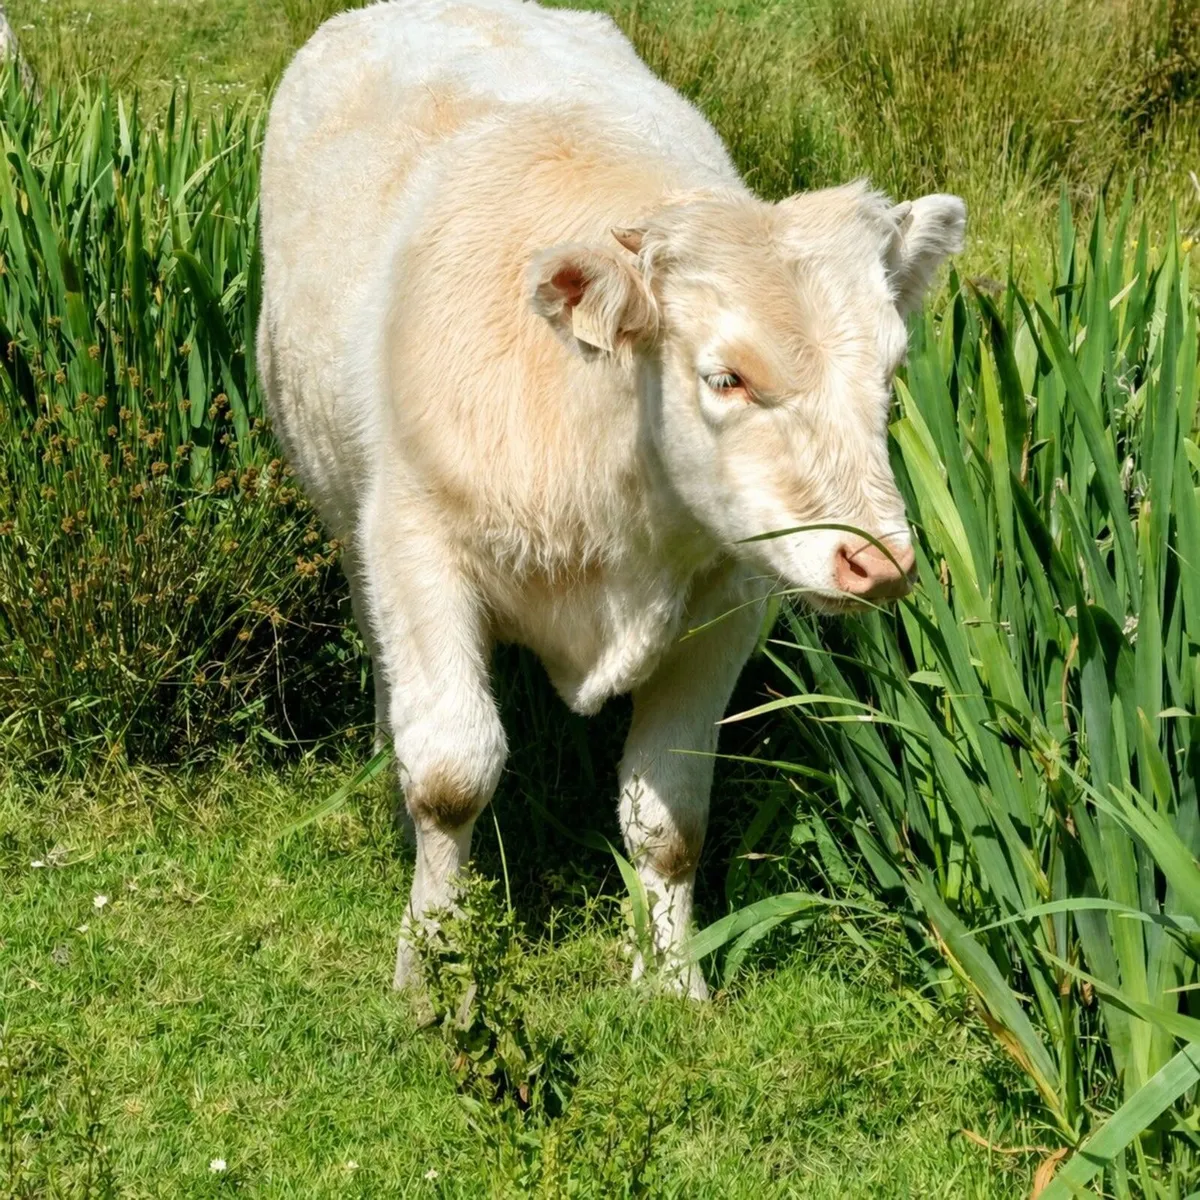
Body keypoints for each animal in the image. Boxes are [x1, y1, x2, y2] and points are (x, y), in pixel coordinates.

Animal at [258, 0, 965, 998]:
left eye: (892, 376)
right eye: (726, 377)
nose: (878, 560)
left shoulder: (729, 602)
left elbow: (669, 819)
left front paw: (672, 983)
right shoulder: (416, 547)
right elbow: (450, 774)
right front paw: (430, 972)